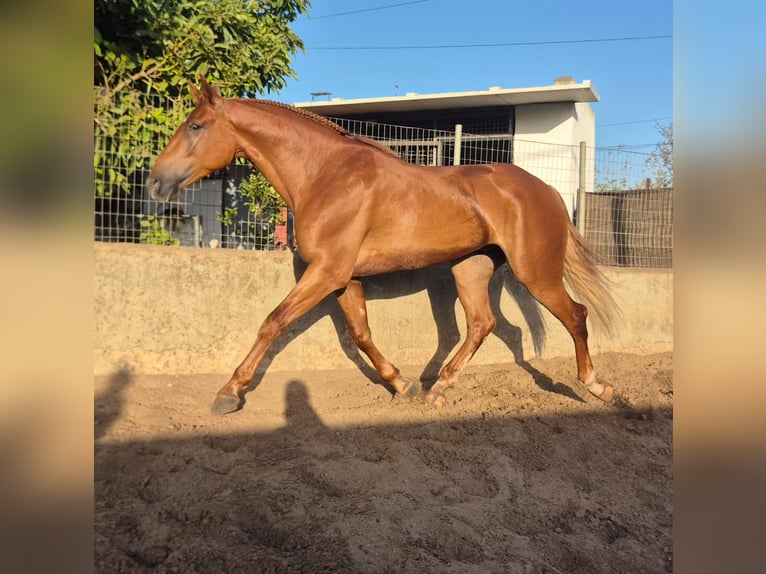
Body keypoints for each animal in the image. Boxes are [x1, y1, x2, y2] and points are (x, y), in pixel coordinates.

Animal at [148, 78, 618, 415]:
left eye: (195, 126)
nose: (155, 182)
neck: (325, 176)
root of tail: (548, 191)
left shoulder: (327, 273)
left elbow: (273, 322)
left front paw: (229, 392)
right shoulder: (344, 278)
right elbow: (360, 334)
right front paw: (402, 384)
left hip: (535, 272)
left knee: (575, 315)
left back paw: (597, 386)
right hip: (471, 267)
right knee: (483, 324)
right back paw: (437, 389)